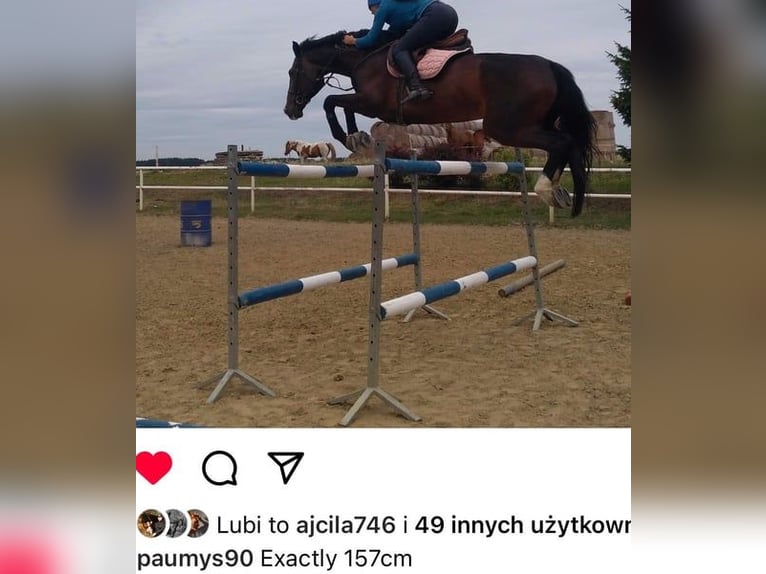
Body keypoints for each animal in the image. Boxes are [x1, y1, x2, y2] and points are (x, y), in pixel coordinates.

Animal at [283, 30, 598, 216]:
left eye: (293, 71)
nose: (290, 110)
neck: (365, 58)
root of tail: (549, 66)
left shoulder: (372, 104)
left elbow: (331, 101)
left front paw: (348, 137)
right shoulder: (368, 104)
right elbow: (340, 105)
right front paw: (356, 137)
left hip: (508, 128)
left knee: (562, 142)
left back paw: (546, 189)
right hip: (532, 124)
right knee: (569, 144)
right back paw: (565, 196)